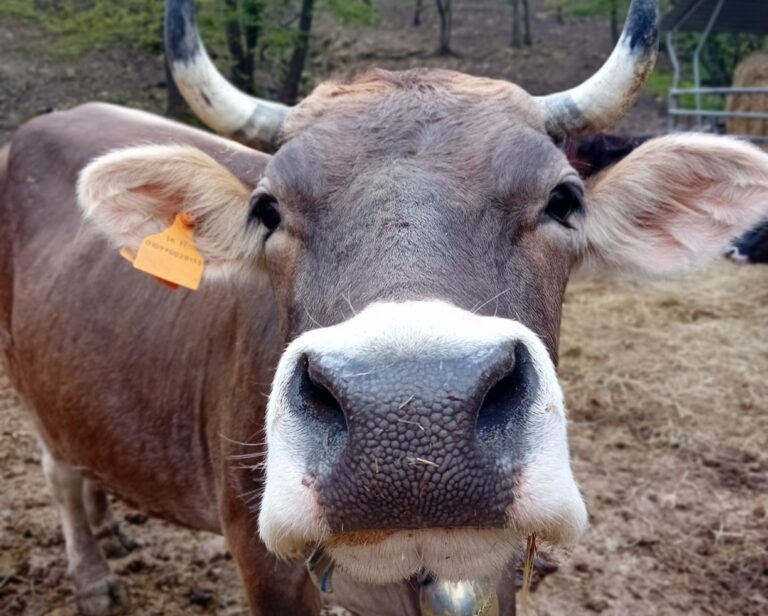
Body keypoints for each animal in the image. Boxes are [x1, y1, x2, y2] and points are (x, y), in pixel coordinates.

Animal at [2, 0, 768, 614]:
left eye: (564, 198)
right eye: (266, 209)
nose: (409, 417)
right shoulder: (265, 564)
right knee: (57, 473)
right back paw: (93, 576)